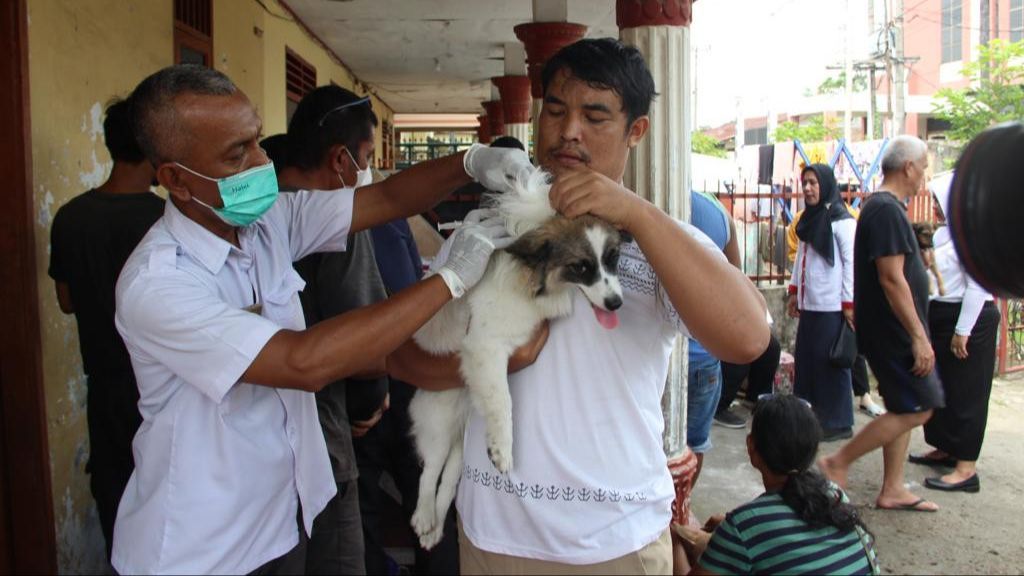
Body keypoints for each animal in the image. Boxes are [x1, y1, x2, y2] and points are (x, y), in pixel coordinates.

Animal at [407, 167, 622, 545]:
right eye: (581, 267)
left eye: (613, 260)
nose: (616, 304)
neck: (532, 278)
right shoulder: (485, 347)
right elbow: (503, 403)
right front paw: (503, 450)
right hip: (440, 416)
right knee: (431, 469)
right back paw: (424, 515)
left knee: (450, 476)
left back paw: (434, 528)